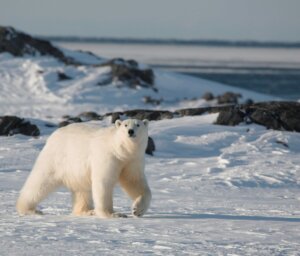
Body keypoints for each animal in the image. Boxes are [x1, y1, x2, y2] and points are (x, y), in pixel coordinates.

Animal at [16, 119, 151, 219]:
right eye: (125, 125)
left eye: (138, 124)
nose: (130, 131)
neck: (120, 150)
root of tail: (54, 135)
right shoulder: (107, 156)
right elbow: (104, 182)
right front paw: (113, 214)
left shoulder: (132, 160)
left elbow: (134, 182)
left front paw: (137, 209)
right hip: (57, 158)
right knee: (40, 181)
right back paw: (29, 209)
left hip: (76, 170)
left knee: (82, 189)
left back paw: (87, 211)